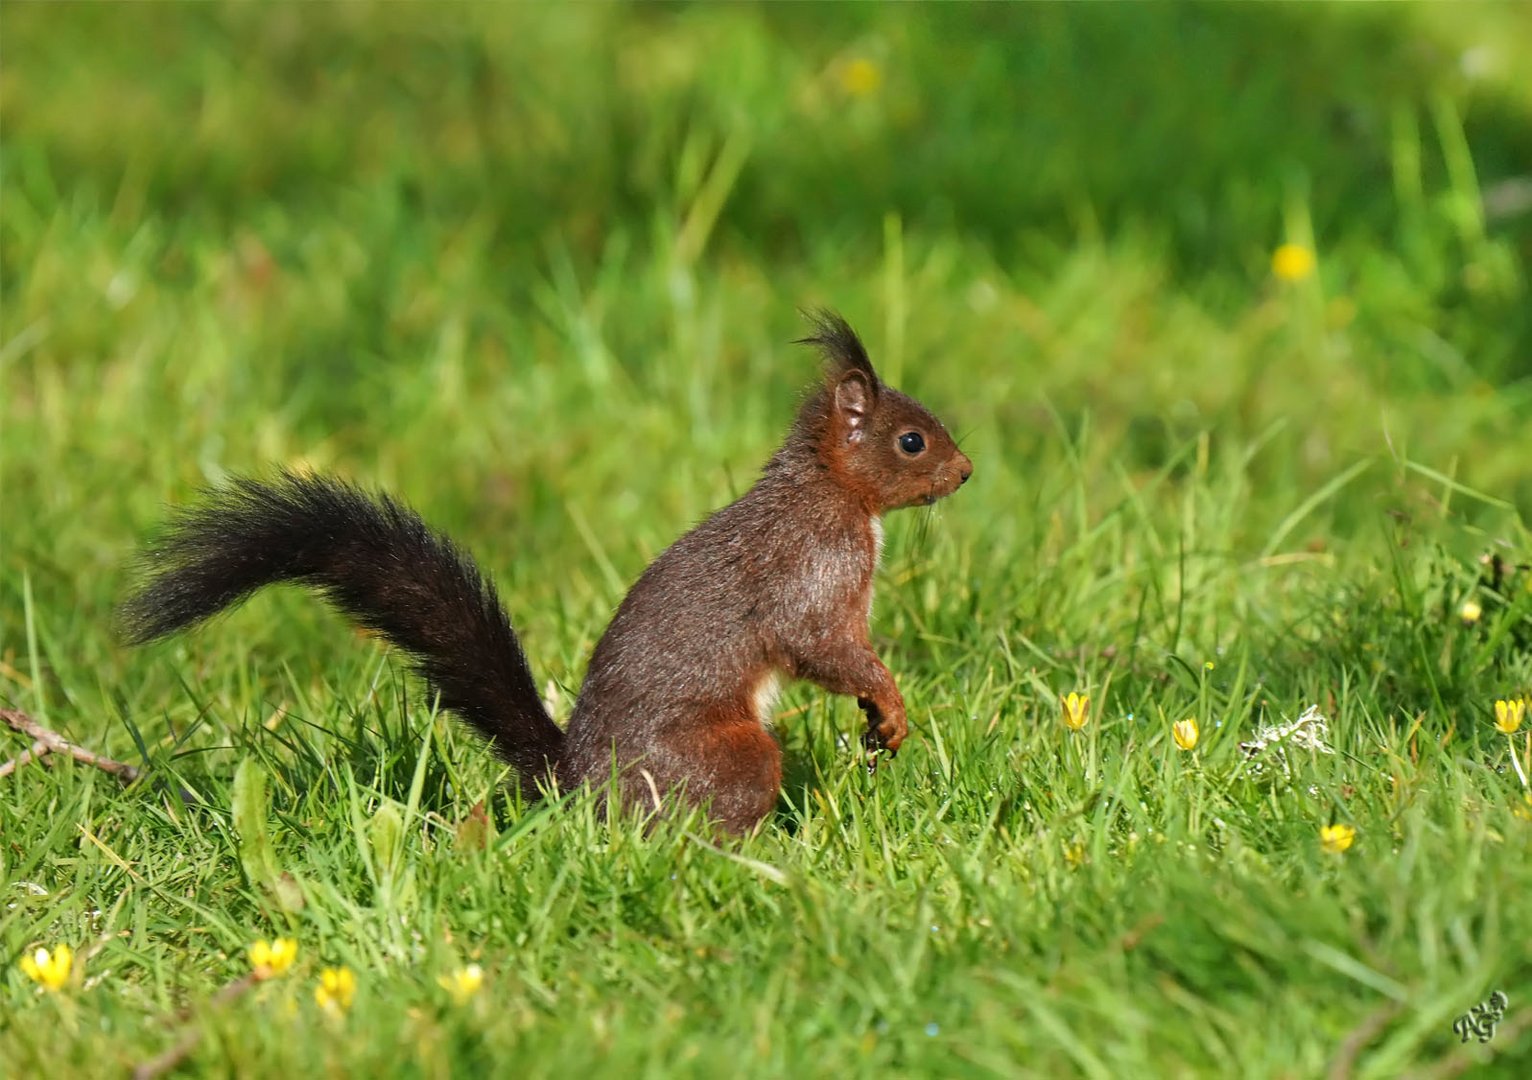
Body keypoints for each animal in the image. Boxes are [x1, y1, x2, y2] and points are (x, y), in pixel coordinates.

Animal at [125, 312, 974, 833]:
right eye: (911, 441)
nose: (966, 473)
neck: (832, 490)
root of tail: (575, 781)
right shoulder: (814, 568)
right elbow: (822, 643)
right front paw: (891, 703)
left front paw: (879, 721)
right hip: (726, 753)